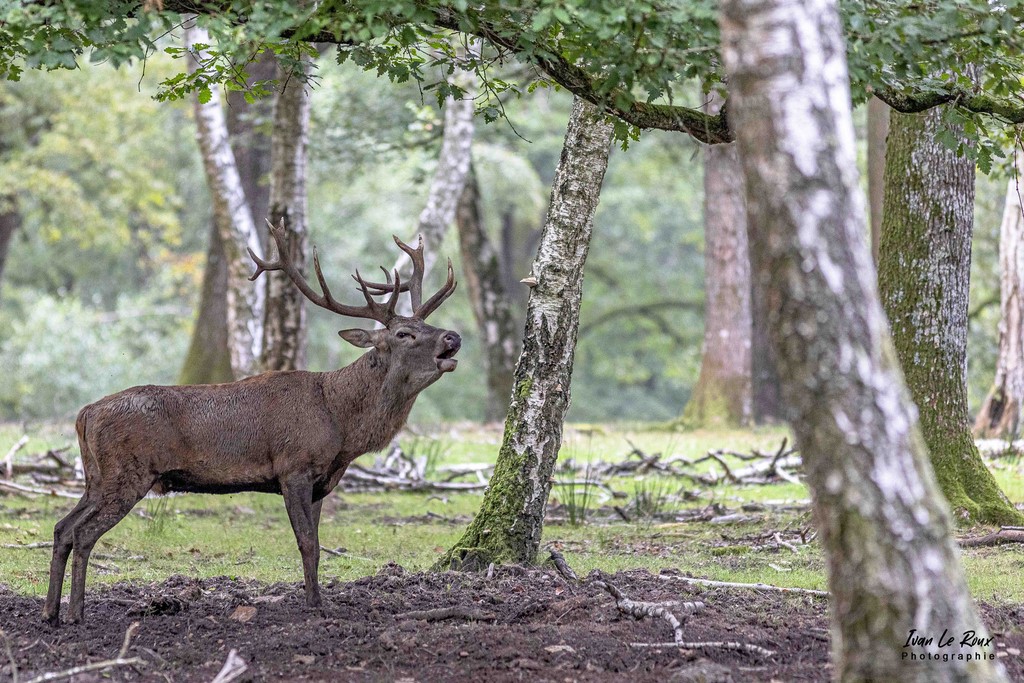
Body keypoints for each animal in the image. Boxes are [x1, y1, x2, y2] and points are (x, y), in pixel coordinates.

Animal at [42, 225, 460, 625]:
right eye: (404, 334)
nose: (453, 336)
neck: (341, 425)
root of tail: (85, 414)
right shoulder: (294, 466)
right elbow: (307, 542)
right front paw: (316, 604)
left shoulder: (322, 482)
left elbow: (317, 544)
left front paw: (316, 598)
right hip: (128, 473)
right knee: (82, 532)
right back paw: (76, 613)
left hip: (97, 477)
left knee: (62, 527)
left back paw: (50, 613)